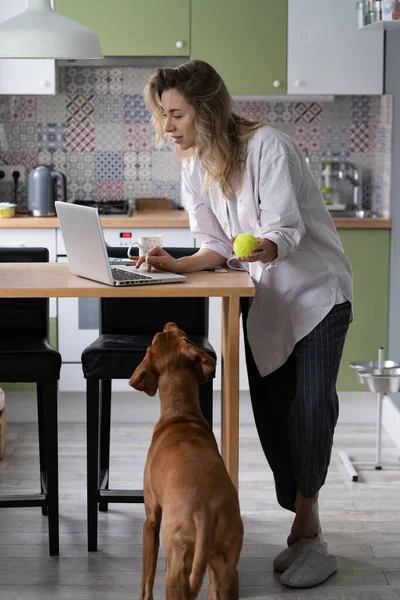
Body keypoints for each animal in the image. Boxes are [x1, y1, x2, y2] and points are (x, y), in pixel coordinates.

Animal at [130, 324, 244, 600]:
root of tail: (205, 510)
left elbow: (146, 580)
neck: (180, 413)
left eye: (155, 339)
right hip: (227, 566)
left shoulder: (151, 520)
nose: (168, 324)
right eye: (182, 337)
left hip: (175, 564)